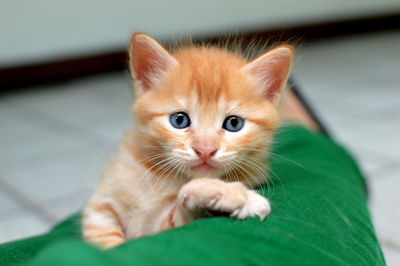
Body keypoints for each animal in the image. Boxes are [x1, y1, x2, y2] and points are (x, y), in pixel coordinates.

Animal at [82, 32, 294, 247]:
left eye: (234, 123)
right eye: (179, 120)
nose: (205, 150)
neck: (162, 177)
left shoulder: (155, 227)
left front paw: (220, 192)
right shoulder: (100, 209)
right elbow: (109, 241)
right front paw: (233, 194)